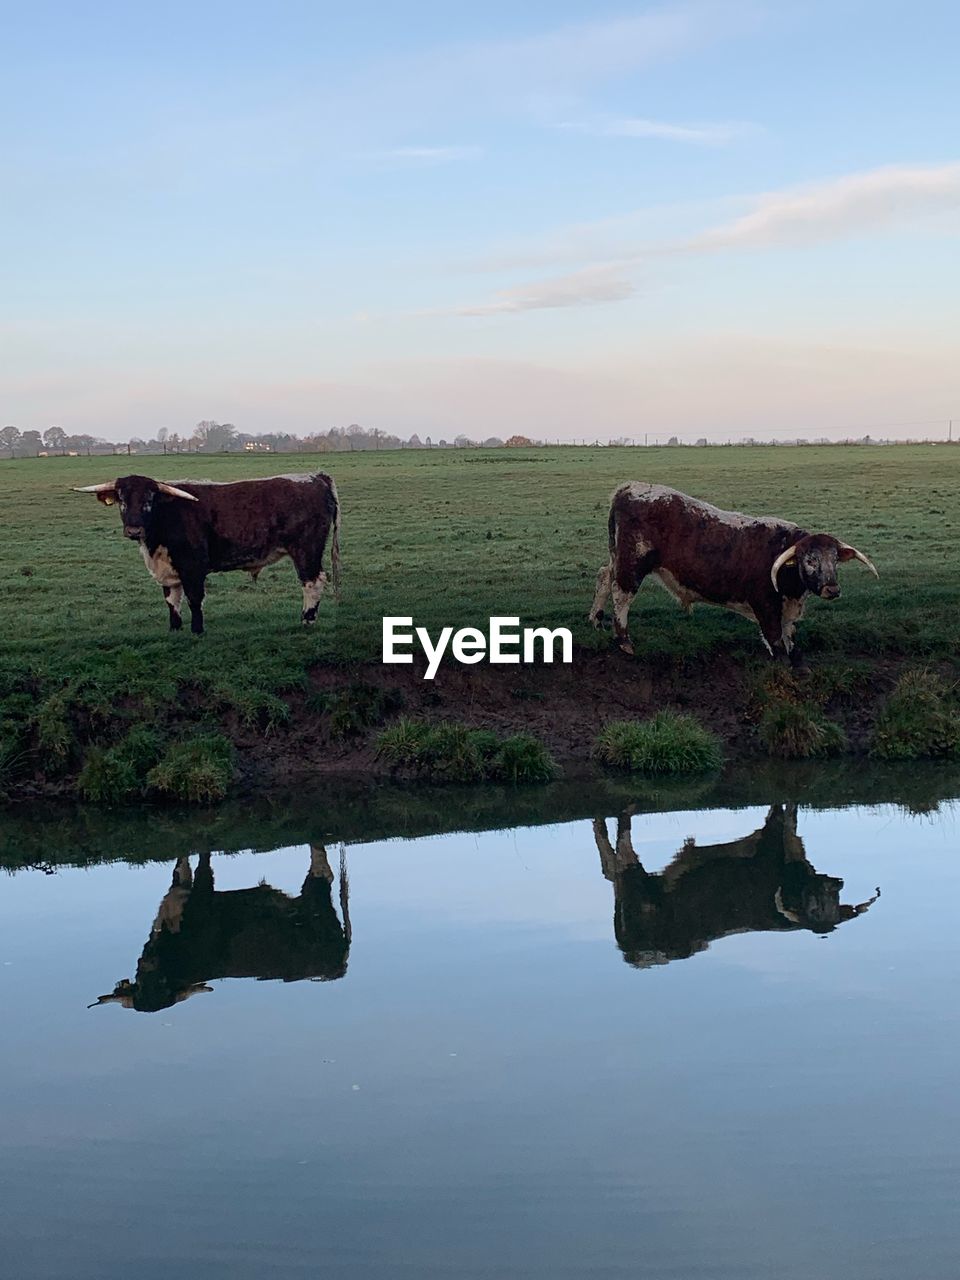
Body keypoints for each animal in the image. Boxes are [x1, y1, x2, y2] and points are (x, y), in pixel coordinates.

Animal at [78, 473, 343, 632]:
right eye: (122, 500)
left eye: (150, 499)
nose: (134, 529)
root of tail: (315, 477)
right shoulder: (169, 570)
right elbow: (172, 600)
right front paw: (175, 629)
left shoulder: (193, 567)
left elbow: (194, 599)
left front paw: (197, 630)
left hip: (306, 550)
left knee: (312, 581)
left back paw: (307, 620)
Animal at [586, 481, 880, 660]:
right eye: (809, 560)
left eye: (835, 560)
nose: (832, 589)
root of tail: (629, 488)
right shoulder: (766, 606)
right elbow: (776, 643)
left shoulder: (786, 611)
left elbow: (789, 640)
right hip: (633, 564)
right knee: (621, 594)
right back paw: (623, 640)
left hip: (619, 558)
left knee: (604, 576)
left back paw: (596, 619)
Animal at [593, 798, 880, 967]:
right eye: (813, 904)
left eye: (834, 902)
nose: (836, 885)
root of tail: (632, 953)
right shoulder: (772, 838)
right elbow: (785, 817)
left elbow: (791, 815)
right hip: (641, 890)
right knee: (622, 857)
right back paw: (623, 814)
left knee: (610, 869)